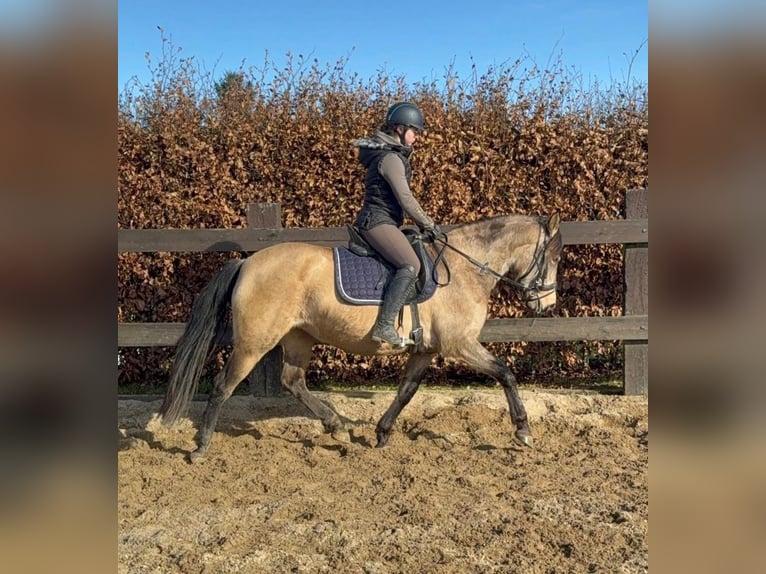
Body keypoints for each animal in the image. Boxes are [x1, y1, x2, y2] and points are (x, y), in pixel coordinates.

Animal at [159, 213, 562, 462]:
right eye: (555, 256)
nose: (548, 302)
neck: (464, 268)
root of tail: (247, 262)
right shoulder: (459, 344)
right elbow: (505, 372)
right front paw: (523, 431)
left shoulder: (425, 350)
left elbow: (406, 391)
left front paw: (382, 433)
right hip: (254, 342)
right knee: (223, 386)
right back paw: (201, 447)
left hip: (298, 337)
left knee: (293, 381)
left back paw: (337, 427)